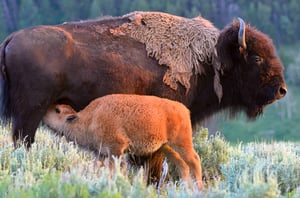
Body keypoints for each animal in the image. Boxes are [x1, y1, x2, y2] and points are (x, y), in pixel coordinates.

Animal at [42, 94, 204, 190]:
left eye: (57, 110)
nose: (43, 115)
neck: (91, 118)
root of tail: (183, 109)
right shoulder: (101, 154)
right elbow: (99, 169)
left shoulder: (116, 150)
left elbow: (116, 170)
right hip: (165, 146)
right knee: (182, 164)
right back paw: (187, 188)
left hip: (181, 142)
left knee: (194, 160)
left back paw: (199, 188)